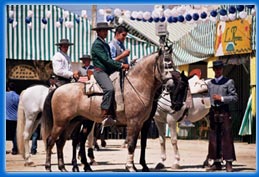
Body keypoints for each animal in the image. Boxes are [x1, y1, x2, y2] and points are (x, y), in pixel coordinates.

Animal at [40, 45, 186, 171]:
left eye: (172, 64)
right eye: (165, 65)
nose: (170, 85)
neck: (137, 86)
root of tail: (58, 89)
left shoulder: (144, 122)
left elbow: (141, 144)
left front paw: (141, 166)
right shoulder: (134, 122)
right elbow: (132, 144)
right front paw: (130, 167)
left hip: (73, 122)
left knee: (63, 142)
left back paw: (66, 167)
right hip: (61, 123)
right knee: (52, 140)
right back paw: (49, 167)